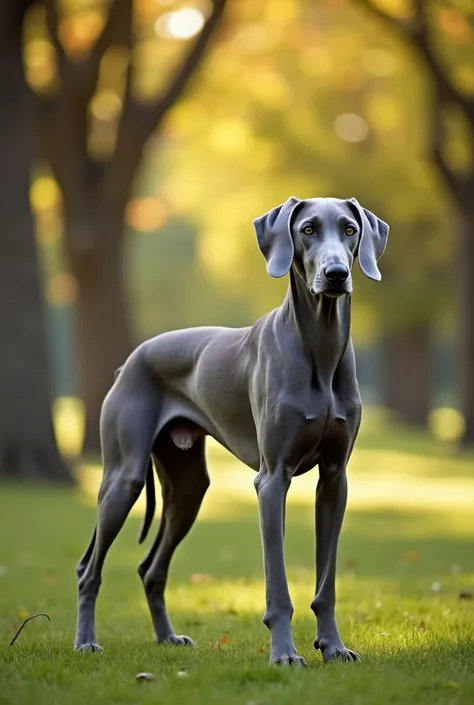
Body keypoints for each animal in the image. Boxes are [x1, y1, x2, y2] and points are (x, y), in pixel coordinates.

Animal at [73, 197, 386, 664]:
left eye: (349, 229)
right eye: (308, 229)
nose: (336, 275)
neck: (321, 346)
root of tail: (130, 360)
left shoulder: (335, 480)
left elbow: (326, 583)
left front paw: (332, 647)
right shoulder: (272, 480)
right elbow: (278, 587)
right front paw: (284, 655)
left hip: (189, 488)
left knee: (151, 568)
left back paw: (168, 638)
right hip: (123, 479)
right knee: (88, 569)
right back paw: (86, 641)